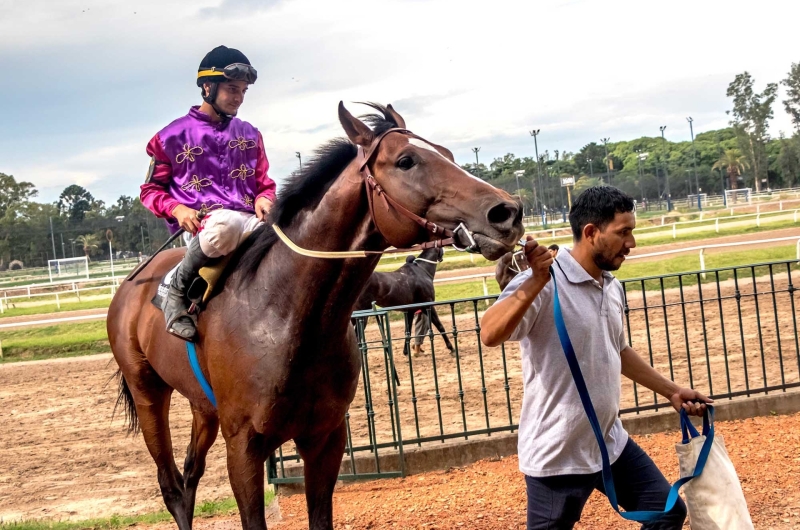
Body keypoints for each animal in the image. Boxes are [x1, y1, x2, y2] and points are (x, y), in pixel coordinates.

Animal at [108, 102, 524, 528]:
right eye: (406, 160)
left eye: (448, 153)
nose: (507, 212)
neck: (284, 316)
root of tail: (130, 284)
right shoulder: (243, 445)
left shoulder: (325, 437)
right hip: (147, 392)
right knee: (172, 485)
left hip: (202, 406)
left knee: (191, 473)